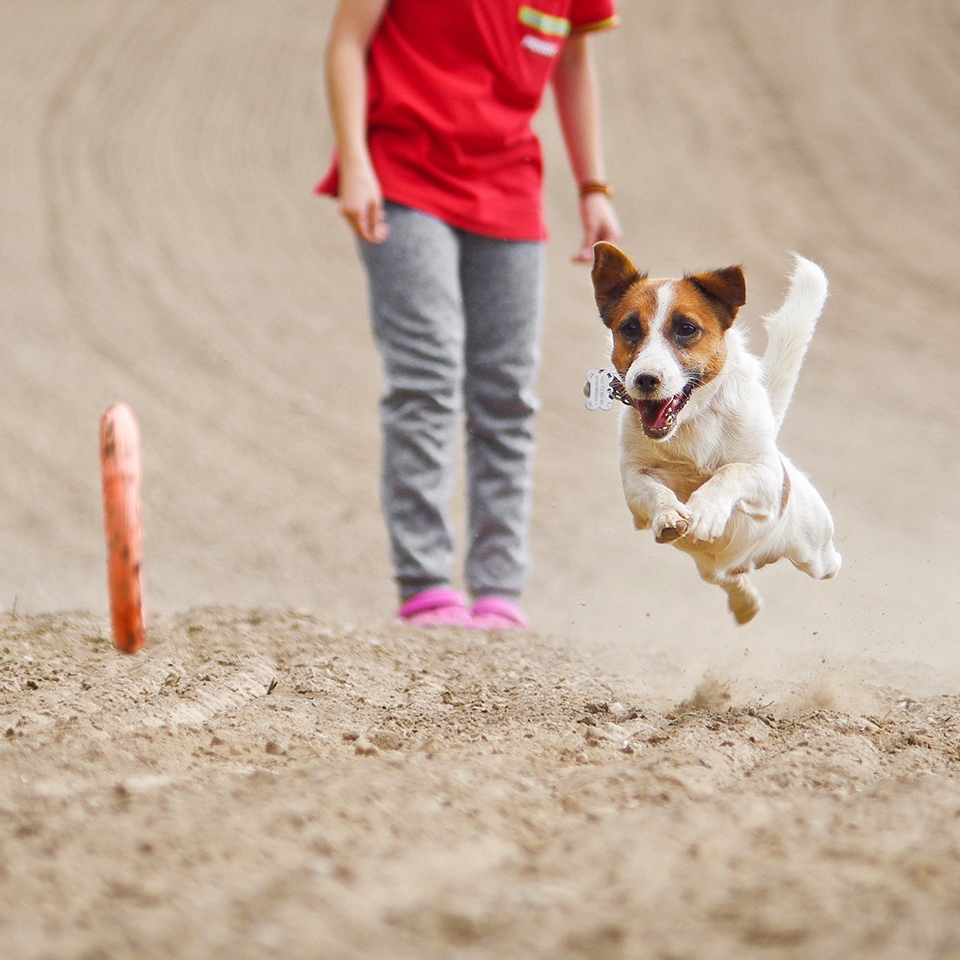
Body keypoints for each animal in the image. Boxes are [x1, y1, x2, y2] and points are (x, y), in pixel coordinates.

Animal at [592, 242, 840, 624]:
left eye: (686, 328)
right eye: (630, 329)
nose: (645, 379)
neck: (692, 420)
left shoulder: (765, 476)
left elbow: (729, 472)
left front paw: (706, 509)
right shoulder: (634, 483)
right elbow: (652, 490)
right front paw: (669, 514)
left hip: (814, 547)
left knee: (829, 563)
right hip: (715, 569)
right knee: (729, 578)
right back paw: (744, 603)